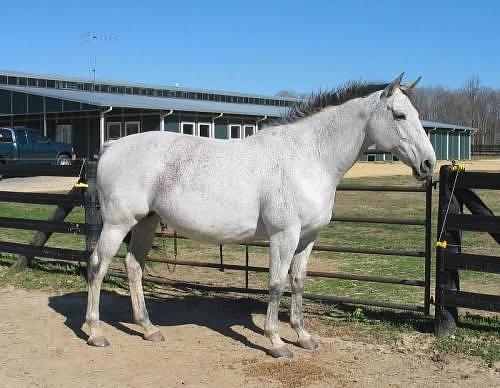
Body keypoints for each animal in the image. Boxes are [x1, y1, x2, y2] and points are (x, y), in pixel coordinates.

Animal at [85, 73, 434, 358]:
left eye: (418, 116)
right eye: (400, 115)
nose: (429, 164)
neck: (308, 157)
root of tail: (111, 146)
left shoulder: (308, 238)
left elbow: (298, 282)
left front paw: (303, 337)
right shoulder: (284, 236)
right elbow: (277, 284)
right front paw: (277, 342)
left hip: (146, 222)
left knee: (133, 267)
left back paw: (148, 328)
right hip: (117, 225)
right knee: (98, 267)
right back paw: (96, 332)